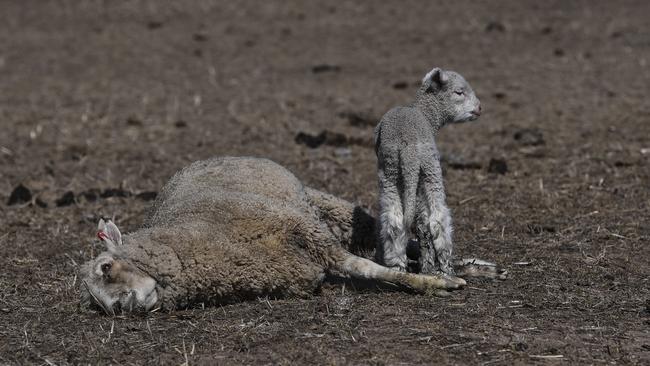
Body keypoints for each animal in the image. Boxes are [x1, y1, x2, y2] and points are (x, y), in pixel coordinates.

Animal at [81, 156, 496, 314]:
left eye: (105, 267)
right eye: (99, 305)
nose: (121, 308)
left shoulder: (310, 235)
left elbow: (373, 269)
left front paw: (433, 283)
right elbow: (371, 268)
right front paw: (433, 280)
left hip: (325, 207)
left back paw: (467, 265)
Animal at [374, 68, 480, 274]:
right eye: (459, 92)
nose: (479, 109)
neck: (428, 116)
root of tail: (406, 144)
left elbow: (420, 223)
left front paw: (426, 267)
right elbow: (426, 222)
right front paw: (430, 266)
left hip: (390, 172)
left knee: (394, 220)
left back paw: (398, 267)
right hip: (431, 168)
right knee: (438, 219)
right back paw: (447, 269)